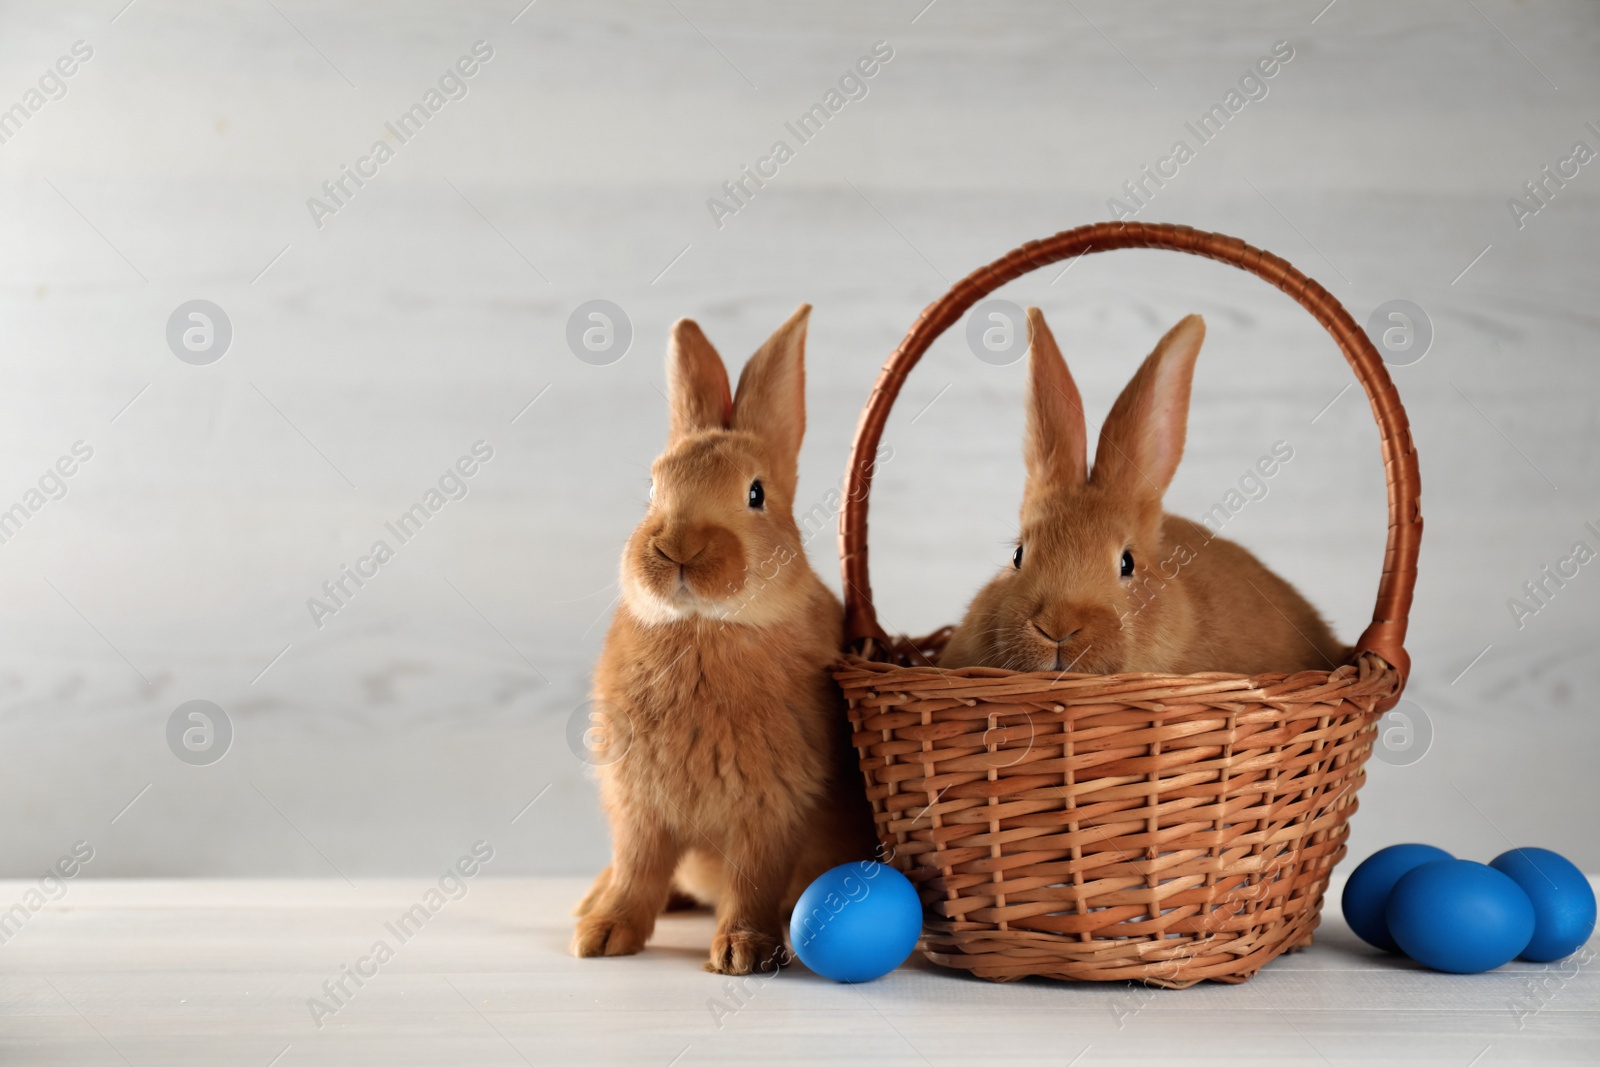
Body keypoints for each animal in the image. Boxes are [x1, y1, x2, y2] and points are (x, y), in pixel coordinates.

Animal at [572, 302, 876, 979]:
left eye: (756, 494)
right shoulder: (640, 807)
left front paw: (743, 952)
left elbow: (754, 881)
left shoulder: (772, 809)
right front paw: (603, 936)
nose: (677, 547)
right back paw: (590, 902)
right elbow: (637, 870)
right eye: (652, 489)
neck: (703, 628)